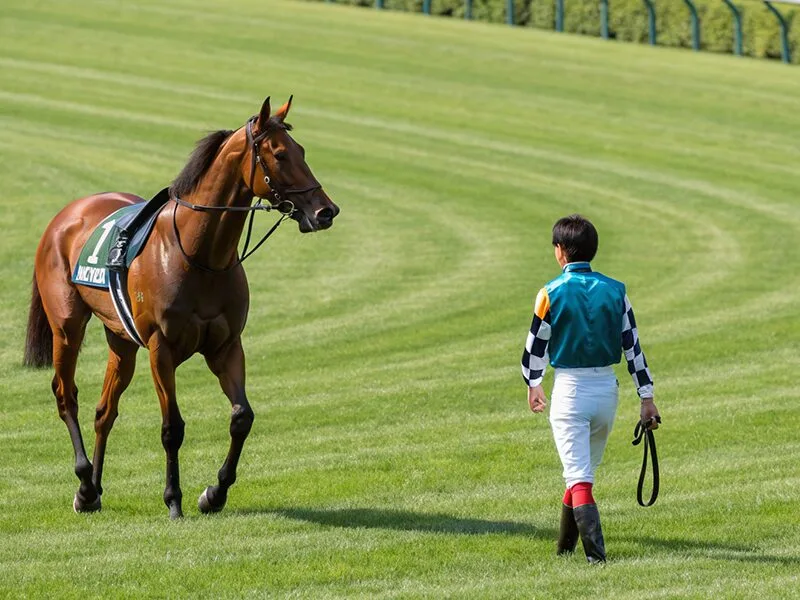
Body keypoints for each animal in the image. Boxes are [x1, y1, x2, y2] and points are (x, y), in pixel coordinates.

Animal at [23, 96, 339, 519]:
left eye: (301, 151)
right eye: (279, 154)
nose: (326, 211)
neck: (199, 254)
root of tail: (66, 215)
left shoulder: (226, 346)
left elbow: (242, 417)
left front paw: (214, 493)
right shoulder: (162, 349)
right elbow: (172, 427)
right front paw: (174, 498)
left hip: (121, 339)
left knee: (105, 410)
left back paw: (93, 489)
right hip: (67, 326)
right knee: (65, 395)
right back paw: (85, 484)